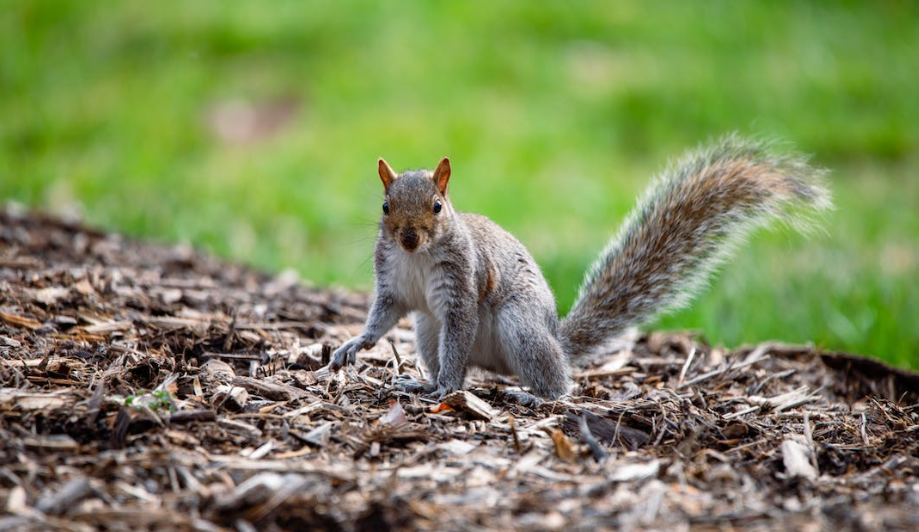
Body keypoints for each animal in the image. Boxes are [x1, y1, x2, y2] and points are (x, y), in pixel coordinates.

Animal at [328, 136, 832, 400]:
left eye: (436, 206)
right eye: (386, 206)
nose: (409, 237)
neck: (416, 258)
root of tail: (557, 337)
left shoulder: (462, 288)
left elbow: (458, 342)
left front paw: (447, 390)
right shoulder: (394, 285)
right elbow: (382, 317)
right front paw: (354, 345)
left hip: (519, 326)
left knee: (556, 384)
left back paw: (527, 392)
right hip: (427, 329)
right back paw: (419, 383)